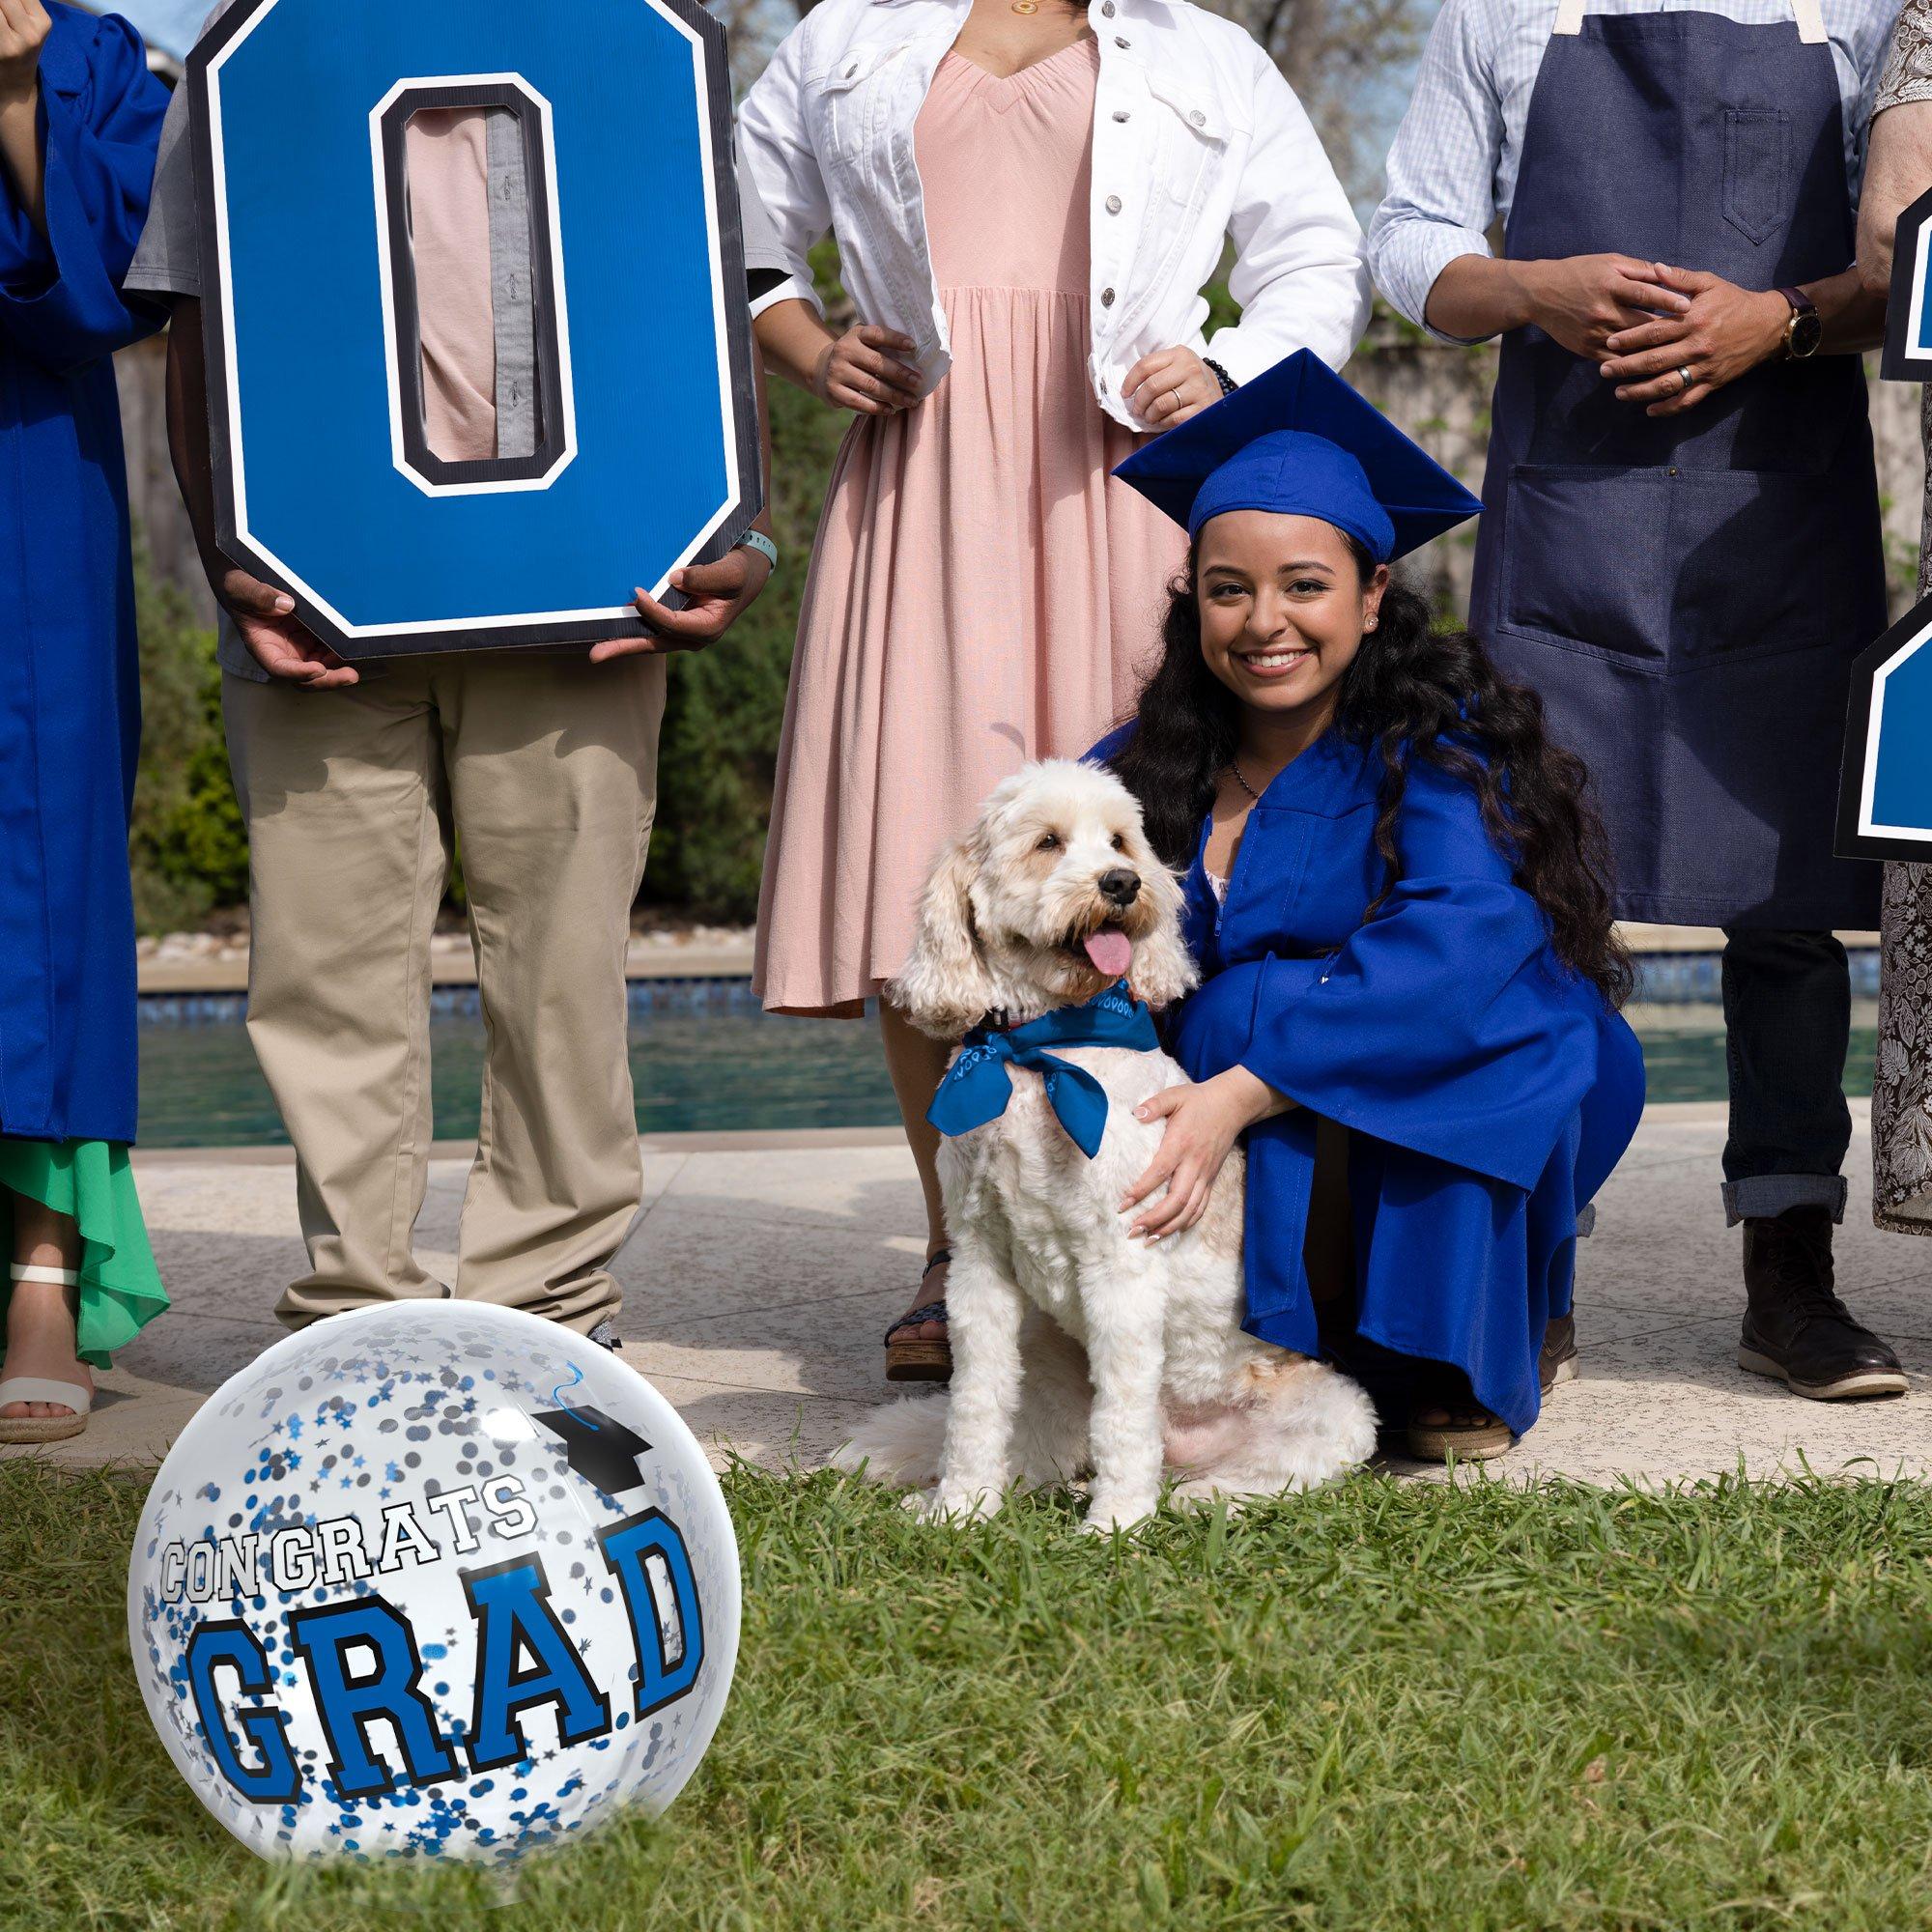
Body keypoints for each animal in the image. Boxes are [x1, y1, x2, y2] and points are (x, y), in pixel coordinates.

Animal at [838, 761, 1383, 1530]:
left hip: (1337, 1411)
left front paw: (1115, 1526)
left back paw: (1196, 1498)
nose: (1122, 883)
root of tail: (1186, 1448)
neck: (1043, 1051)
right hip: (1048, 1367)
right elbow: (974, 1407)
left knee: (1272, 1475)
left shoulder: (1121, 1266)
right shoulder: (980, 1266)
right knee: (1036, 1452)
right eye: (1047, 842)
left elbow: (1124, 1418)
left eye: (1121, 840)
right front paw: (960, 1508)